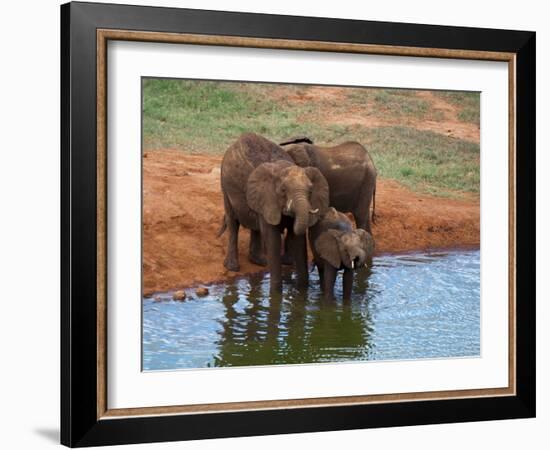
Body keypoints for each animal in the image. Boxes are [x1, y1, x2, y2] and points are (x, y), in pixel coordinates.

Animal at [219, 130, 330, 292]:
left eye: (310, 191)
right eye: (283, 190)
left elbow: (298, 239)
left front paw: (301, 290)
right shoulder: (268, 197)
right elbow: (272, 238)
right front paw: (276, 293)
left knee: (255, 226)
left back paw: (260, 261)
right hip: (225, 185)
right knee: (233, 222)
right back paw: (233, 267)